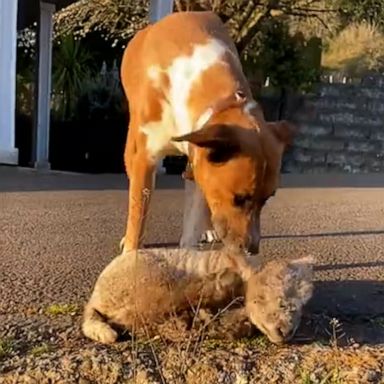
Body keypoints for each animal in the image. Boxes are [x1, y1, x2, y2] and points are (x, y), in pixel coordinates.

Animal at [120, 10, 294, 254]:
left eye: (267, 199)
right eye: (239, 198)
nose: (251, 249)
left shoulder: (200, 158)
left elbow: (194, 219)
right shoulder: (147, 158)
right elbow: (138, 212)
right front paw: (131, 251)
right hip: (133, 146)